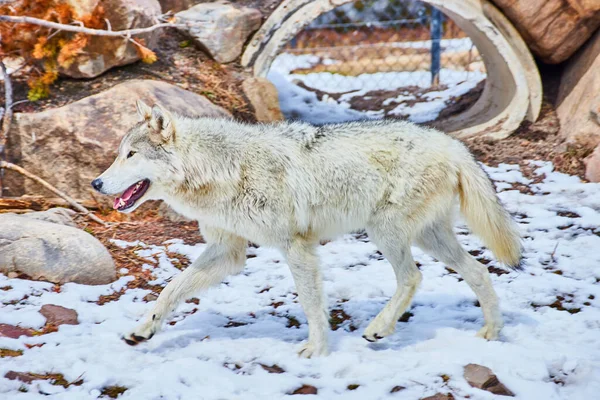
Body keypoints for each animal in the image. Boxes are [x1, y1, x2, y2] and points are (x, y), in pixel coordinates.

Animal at [92, 100, 520, 356]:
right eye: (118, 154)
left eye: (131, 155)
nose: (96, 184)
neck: (222, 170)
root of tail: (454, 145)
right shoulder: (228, 253)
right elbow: (170, 290)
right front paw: (142, 330)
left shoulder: (296, 246)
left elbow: (312, 304)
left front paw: (315, 349)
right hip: (428, 237)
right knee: (478, 271)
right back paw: (493, 332)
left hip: (386, 232)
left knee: (413, 278)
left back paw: (379, 328)